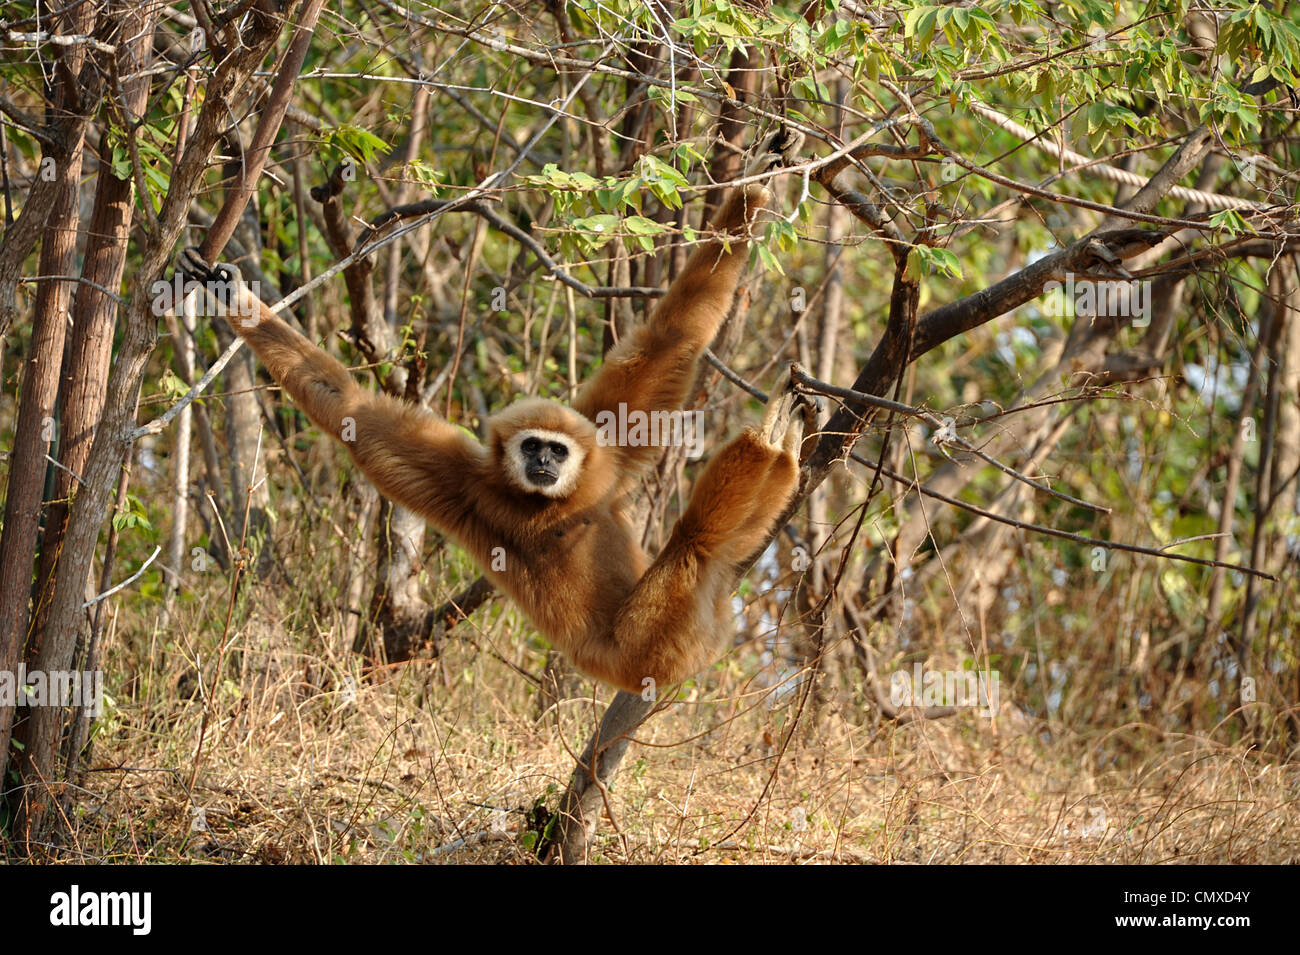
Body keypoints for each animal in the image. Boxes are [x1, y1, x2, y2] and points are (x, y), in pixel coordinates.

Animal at [176, 132, 807, 694]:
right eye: (532, 446)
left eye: (557, 450)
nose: (544, 463)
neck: (548, 502)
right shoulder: (466, 480)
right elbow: (353, 412)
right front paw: (236, 302)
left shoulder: (602, 446)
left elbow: (671, 338)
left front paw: (758, 184)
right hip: (656, 640)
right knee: (696, 544)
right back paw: (767, 439)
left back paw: (782, 444)